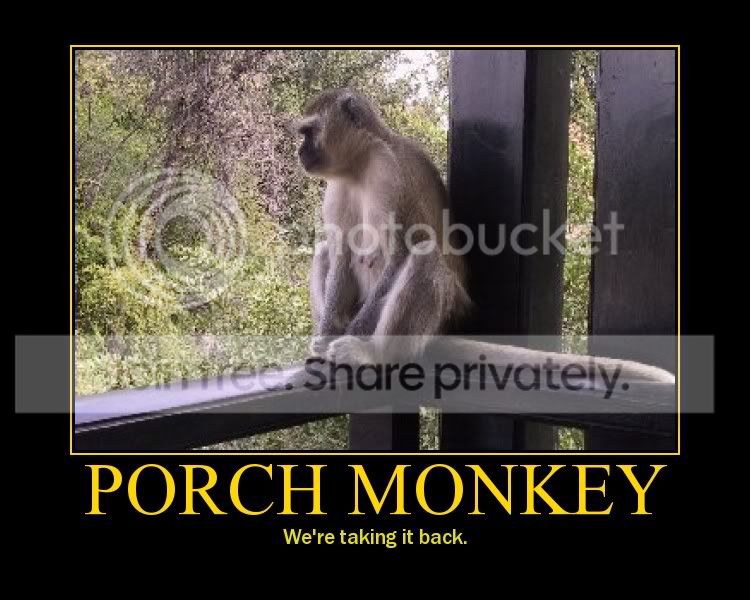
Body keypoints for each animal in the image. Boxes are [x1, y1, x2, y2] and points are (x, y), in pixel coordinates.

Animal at [294, 88, 675, 386]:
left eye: (308, 132)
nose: (300, 151)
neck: (359, 165)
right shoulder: (337, 189)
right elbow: (341, 251)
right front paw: (326, 334)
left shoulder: (389, 174)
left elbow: (401, 251)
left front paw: (350, 337)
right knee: (327, 250)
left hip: (446, 314)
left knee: (425, 257)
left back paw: (375, 354)